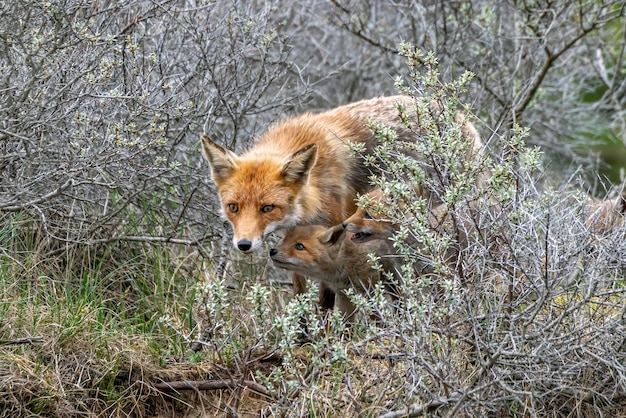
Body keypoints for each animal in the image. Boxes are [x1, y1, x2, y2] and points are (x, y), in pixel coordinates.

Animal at [201, 96, 482, 308]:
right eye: (233, 207)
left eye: (267, 208)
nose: (243, 245)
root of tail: (460, 117)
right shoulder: (292, 238)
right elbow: (299, 290)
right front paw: (302, 335)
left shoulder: (332, 233)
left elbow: (327, 298)